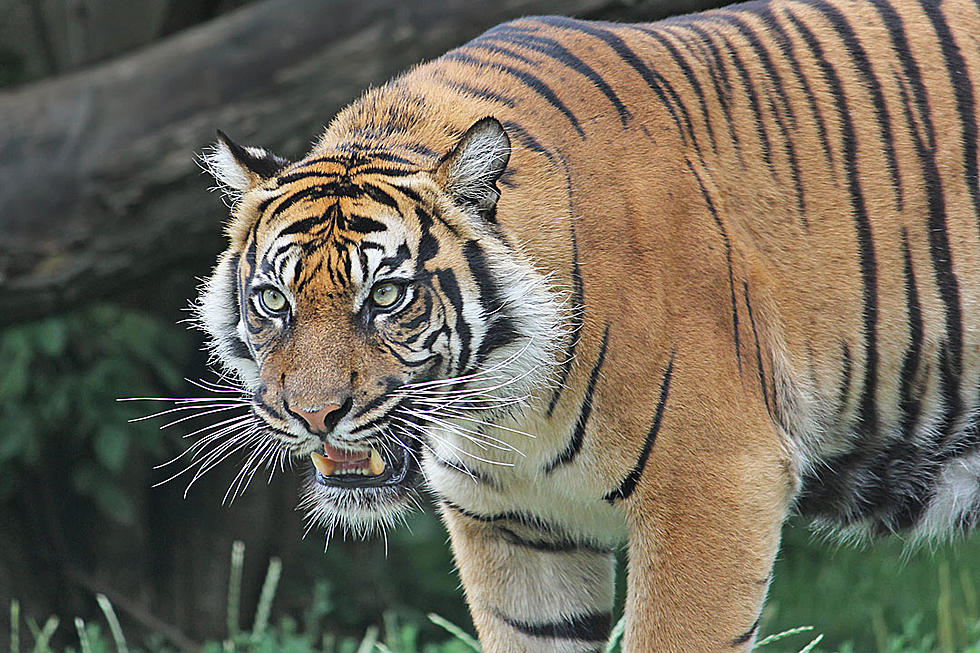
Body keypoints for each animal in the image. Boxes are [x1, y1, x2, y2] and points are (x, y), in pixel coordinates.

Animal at [189, 0, 980, 648]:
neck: (503, 412)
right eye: (272, 302)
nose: (313, 415)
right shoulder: (513, 526)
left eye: (385, 296)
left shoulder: (714, 483)